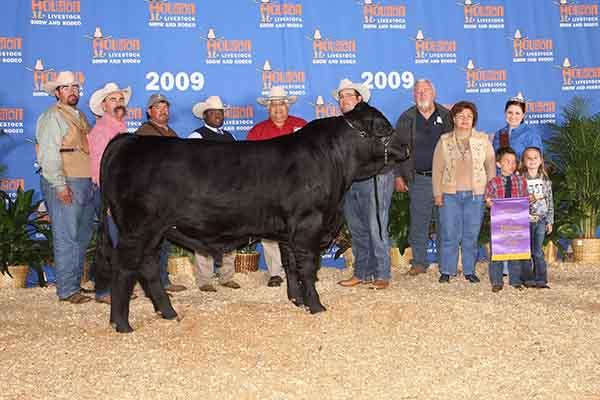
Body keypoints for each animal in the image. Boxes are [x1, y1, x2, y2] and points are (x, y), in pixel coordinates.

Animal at [99, 102, 408, 332]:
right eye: (383, 127)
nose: (405, 147)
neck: (333, 162)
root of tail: (130, 139)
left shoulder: (288, 231)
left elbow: (291, 266)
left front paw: (297, 301)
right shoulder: (308, 225)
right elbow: (308, 267)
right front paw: (316, 306)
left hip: (155, 232)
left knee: (148, 266)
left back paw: (168, 312)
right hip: (137, 229)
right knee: (124, 268)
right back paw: (122, 324)